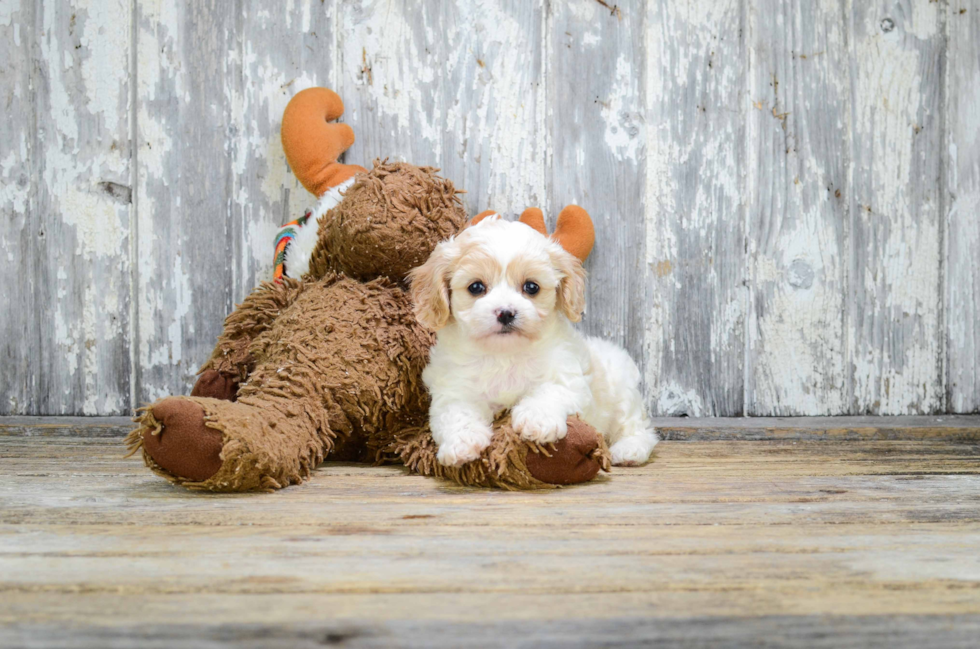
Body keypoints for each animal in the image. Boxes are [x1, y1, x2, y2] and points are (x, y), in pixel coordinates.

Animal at [408, 210, 660, 468]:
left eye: (531, 287)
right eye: (476, 287)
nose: (506, 312)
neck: (504, 355)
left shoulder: (567, 378)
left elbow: (548, 392)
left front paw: (537, 420)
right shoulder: (453, 390)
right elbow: (456, 413)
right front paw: (462, 442)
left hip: (622, 393)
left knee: (638, 428)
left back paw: (629, 450)